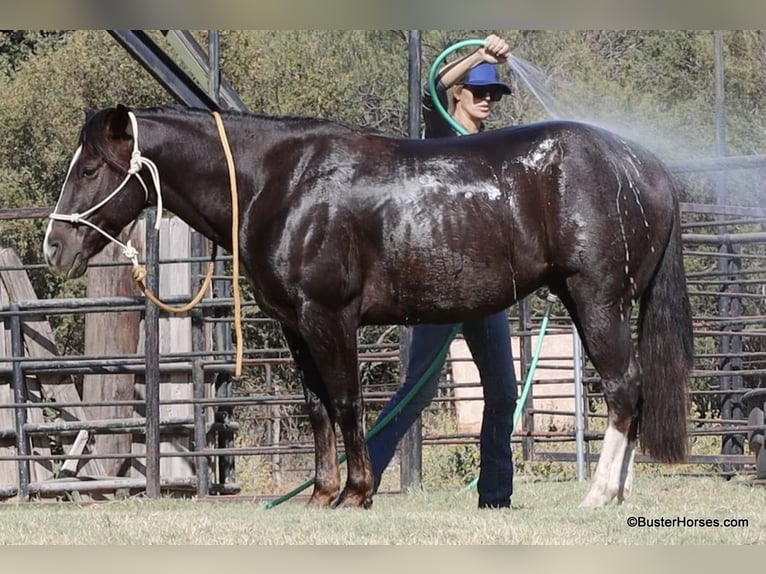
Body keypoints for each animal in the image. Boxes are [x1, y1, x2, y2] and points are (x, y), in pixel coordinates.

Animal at [43, 106, 696, 510]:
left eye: (92, 167)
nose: (55, 246)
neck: (278, 184)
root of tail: (646, 167)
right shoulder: (296, 327)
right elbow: (316, 410)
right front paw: (320, 493)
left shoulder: (329, 317)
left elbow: (347, 401)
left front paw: (356, 491)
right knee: (632, 393)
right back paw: (620, 493)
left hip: (598, 300)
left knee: (624, 389)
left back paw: (600, 494)